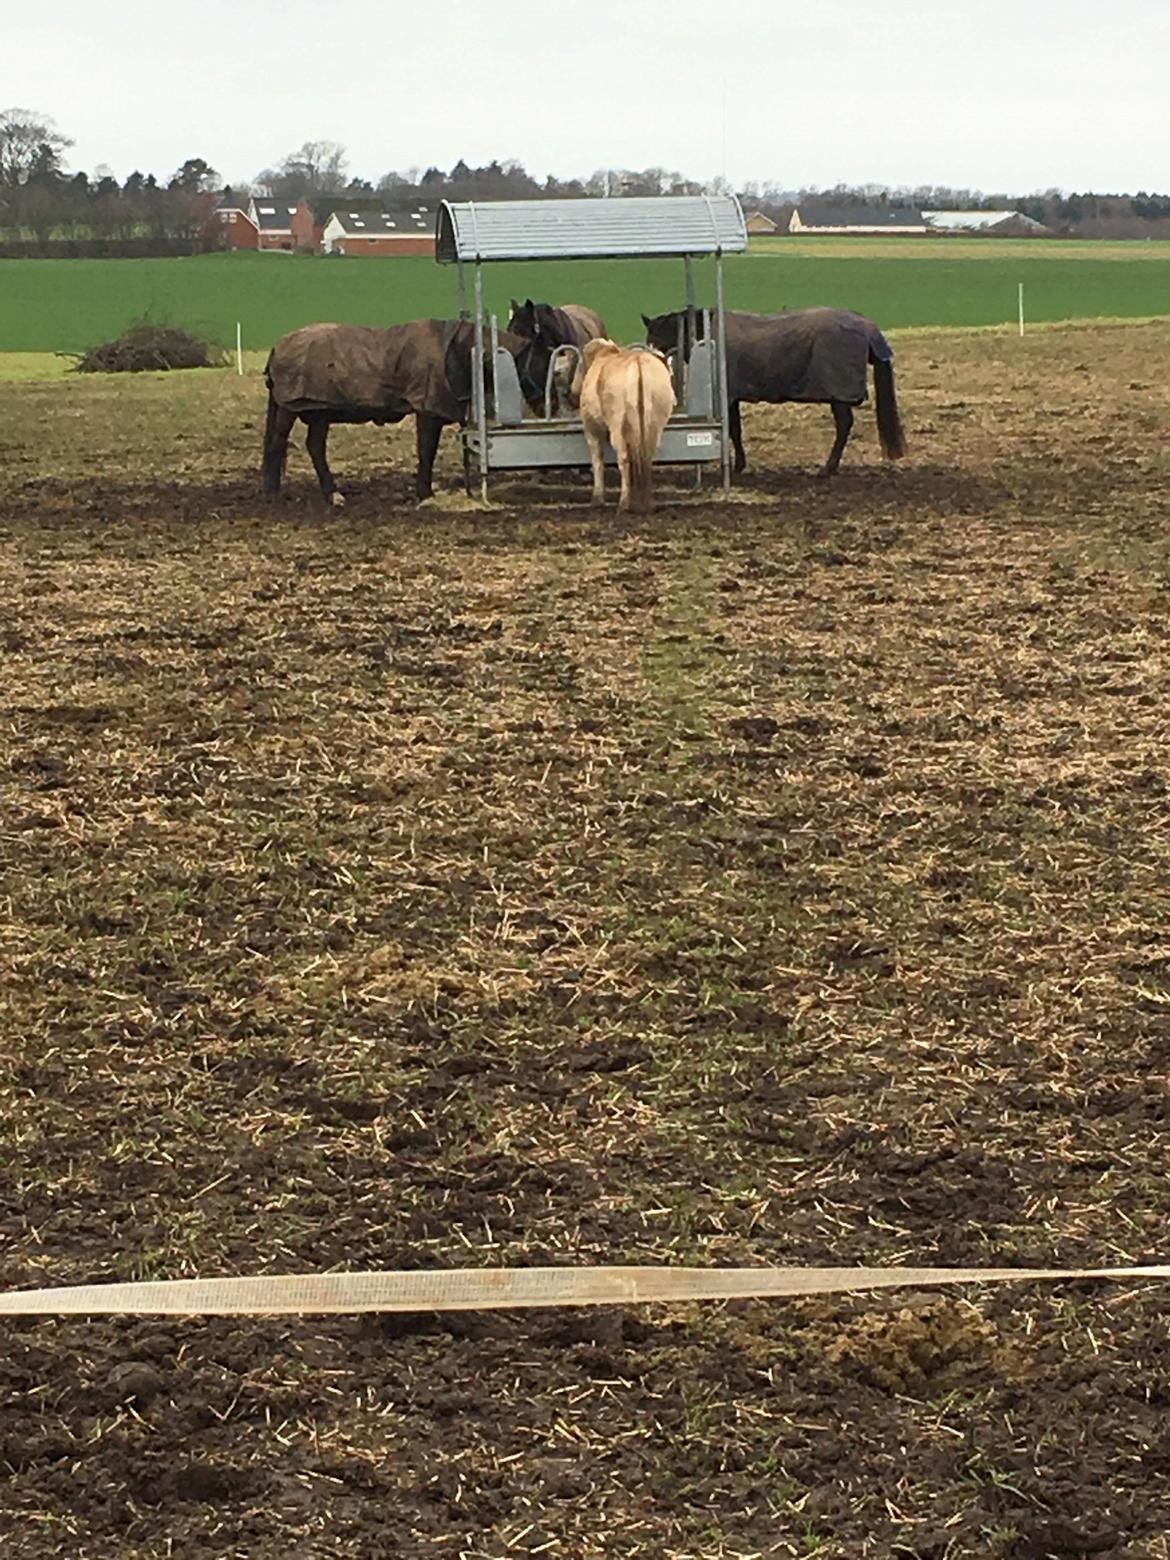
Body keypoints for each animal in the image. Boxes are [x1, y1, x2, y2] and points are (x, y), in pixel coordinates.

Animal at [574, 340, 673, 511]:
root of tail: (637, 362)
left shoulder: (592, 428)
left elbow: (597, 460)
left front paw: (597, 498)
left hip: (617, 426)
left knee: (624, 459)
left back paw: (624, 503)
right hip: (655, 424)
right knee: (647, 457)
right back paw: (647, 503)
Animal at [642, 304, 904, 474]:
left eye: (656, 334)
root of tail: (868, 327)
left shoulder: (729, 396)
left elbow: (734, 430)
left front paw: (738, 466)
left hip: (838, 396)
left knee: (844, 426)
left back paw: (828, 467)